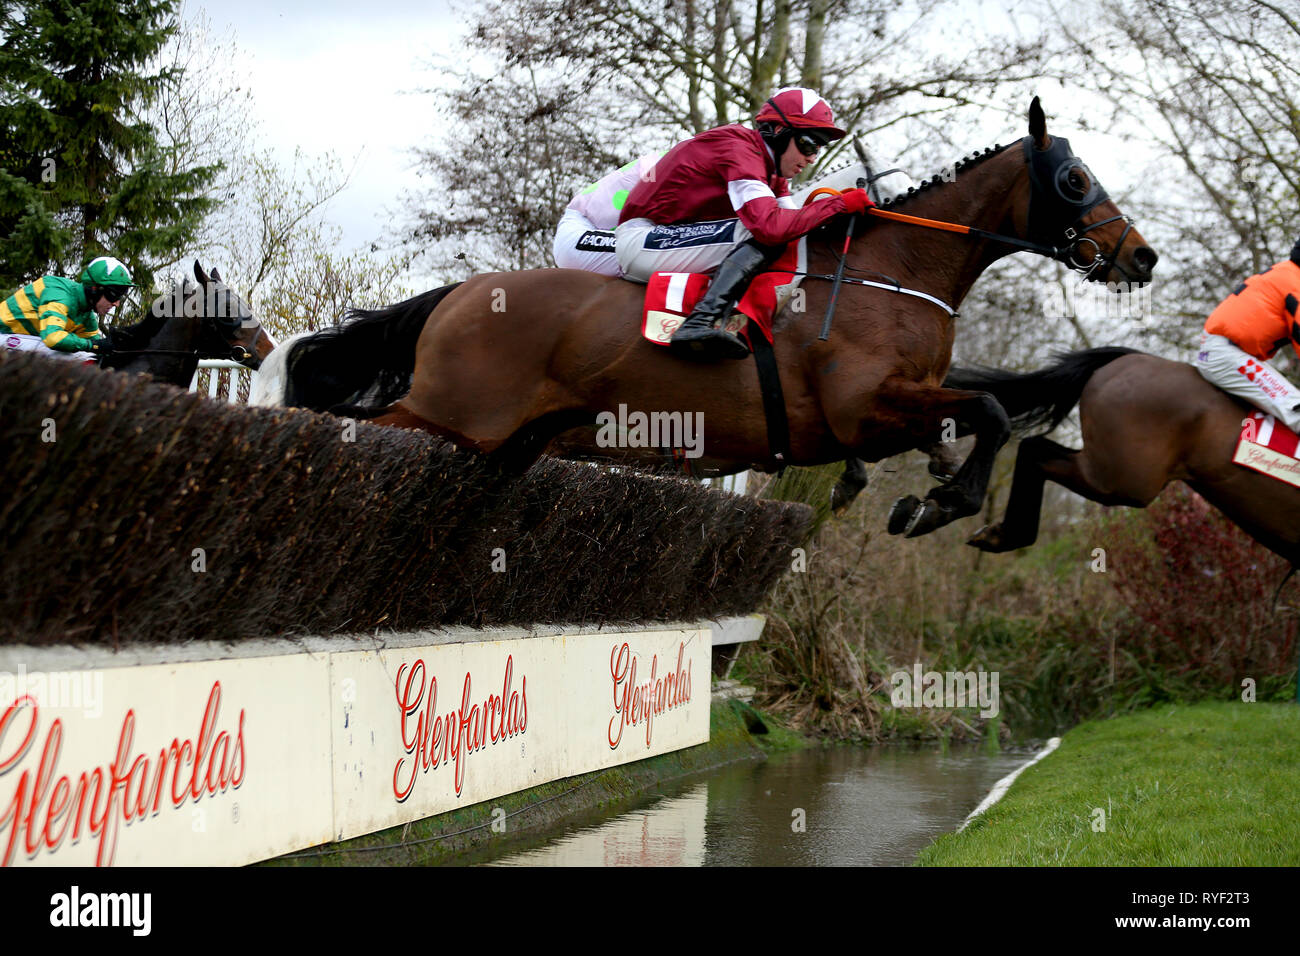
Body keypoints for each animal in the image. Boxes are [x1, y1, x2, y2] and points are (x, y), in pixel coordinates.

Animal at [269, 100, 1154, 541]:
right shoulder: (862, 408)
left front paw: (934, 487)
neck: (894, 270)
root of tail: (459, 293)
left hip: (507, 440)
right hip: (451, 413)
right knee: (354, 427)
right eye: (1076, 179)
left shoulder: (905, 403)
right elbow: (996, 409)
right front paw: (939, 504)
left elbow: (984, 407)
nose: (1139, 256)